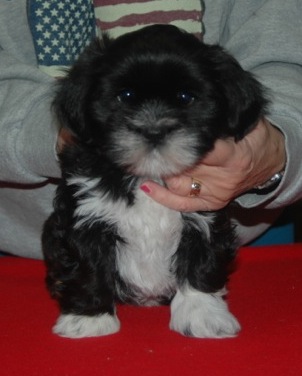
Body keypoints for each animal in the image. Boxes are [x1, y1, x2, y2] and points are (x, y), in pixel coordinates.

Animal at [42, 25, 266, 340]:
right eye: (125, 96)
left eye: (185, 97)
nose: (154, 130)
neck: (149, 175)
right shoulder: (84, 216)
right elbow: (87, 264)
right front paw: (88, 319)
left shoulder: (205, 215)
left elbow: (201, 260)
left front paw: (203, 315)